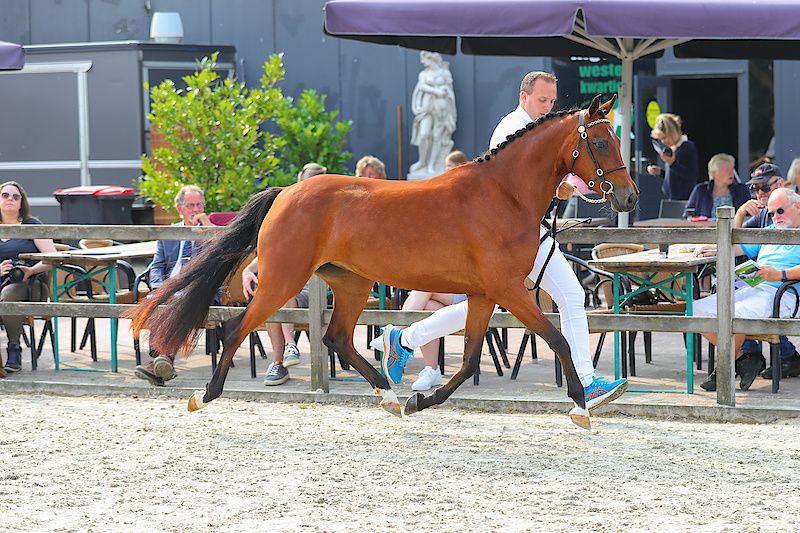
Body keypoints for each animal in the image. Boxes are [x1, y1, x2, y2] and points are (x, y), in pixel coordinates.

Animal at [127, 94, 638, 429]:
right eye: (601, 143)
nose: (629, 197)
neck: (504, 194)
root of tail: (288, 192)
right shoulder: (508, 289)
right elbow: (557, 338)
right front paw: (579, 407)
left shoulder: (482, 294)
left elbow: (471, 359)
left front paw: (420, 402)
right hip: (284, 281)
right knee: (238, 328)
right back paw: (202, 395)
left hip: (351, 283)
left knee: (336, 337)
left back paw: (390, 395)